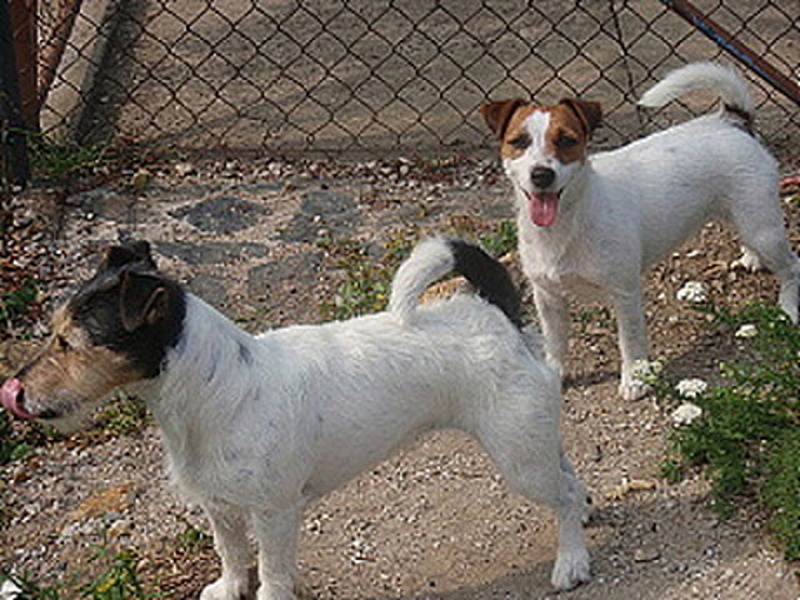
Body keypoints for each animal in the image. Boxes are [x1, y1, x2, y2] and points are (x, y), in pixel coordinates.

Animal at [0, 239, 588, 600]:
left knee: (559, 493)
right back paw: (584, 516)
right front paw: (227, 589)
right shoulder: (220, 507)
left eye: (69, 343)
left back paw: (572, 561)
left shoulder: (275, 513)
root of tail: (492, 311)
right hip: (532, 440)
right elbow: (232, 555)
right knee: (570, 476)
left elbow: (273, 574)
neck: (218, 386)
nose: (15, 391)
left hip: (518, 457)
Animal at [482, 61, 800, 400]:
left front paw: (635, 379)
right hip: (742, 216)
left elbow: (630, 341)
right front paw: (554, 373)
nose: (542, 175)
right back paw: (752, 258)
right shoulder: (548, 298)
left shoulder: (625, 293)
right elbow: (555, 344)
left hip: (763, 228)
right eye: (519, 141)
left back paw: (787, 308)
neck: (568, 222)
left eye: (567, 140)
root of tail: (731, 121)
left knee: (792, 266)